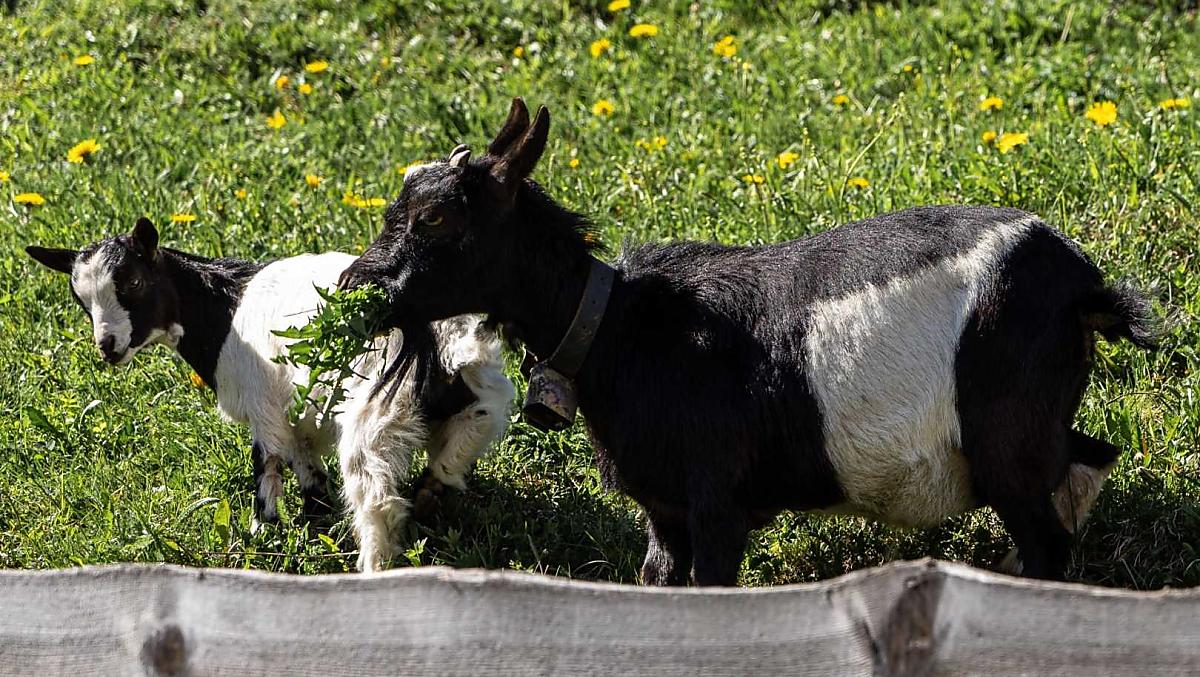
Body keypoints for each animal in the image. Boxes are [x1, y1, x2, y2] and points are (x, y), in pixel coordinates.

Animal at [26, 217, 515, 572]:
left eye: (132, 283)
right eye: (80, 299)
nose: (108, 347)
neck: (221, 308)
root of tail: (441, 338)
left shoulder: (263, 405)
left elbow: (267, 466)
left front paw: (263, 535)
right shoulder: (293, 410)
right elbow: (308, 471)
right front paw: (313, 521)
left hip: (375, 413)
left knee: (376, 499)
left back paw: (373, 567)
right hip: (475, 399)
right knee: (458, 449)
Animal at [338, 98, 1158, 584]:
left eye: (436, 218)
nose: (356, 283)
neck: (621, 327)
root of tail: (1081, 285)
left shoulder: (718, 501)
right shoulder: (664, 508)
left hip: (1004, 433)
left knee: (1048, 533)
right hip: (1037, 424)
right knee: (1088, 462)